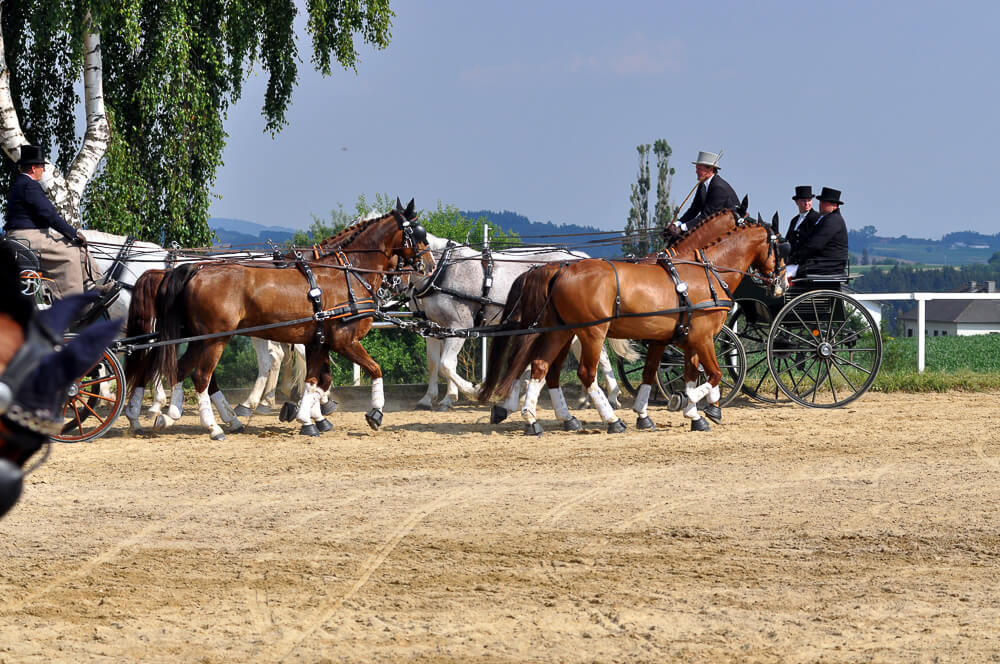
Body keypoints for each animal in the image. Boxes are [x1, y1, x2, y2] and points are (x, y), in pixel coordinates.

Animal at [136, 202, 426, 440]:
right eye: (420, 235)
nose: (424, 268)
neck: (346, 274)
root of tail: (196, 269)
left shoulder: (318, 341)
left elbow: (317, 379)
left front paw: (308, 417)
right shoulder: (344, 340)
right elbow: (374, 369)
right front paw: (375, 413)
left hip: (200, 338)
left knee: (181, 369)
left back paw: (171, 416)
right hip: (215, 339)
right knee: (200, 376)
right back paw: (214, 427)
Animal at [406, 232, 632, 416]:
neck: (444, 268)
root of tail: (580, 258)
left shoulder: (460, 325)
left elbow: (447, 363)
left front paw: (472, 390)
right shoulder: (435, 328)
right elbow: (435, 363)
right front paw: (432, 399)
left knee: (598, 356)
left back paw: (610, 396)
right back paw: (586, 398)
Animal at [480, 209, 784, 436]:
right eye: (781, 244)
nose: (782, 283)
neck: (704, 272)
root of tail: (558, 268)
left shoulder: (674, 339)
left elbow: (666, 374)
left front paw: (675, 413)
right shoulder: (702, 337)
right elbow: (713, 374)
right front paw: (693, 405)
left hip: (560, 332)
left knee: (541, 367)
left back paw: (534, 418)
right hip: (592, 333)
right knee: (585, 374)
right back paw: (611, 420)